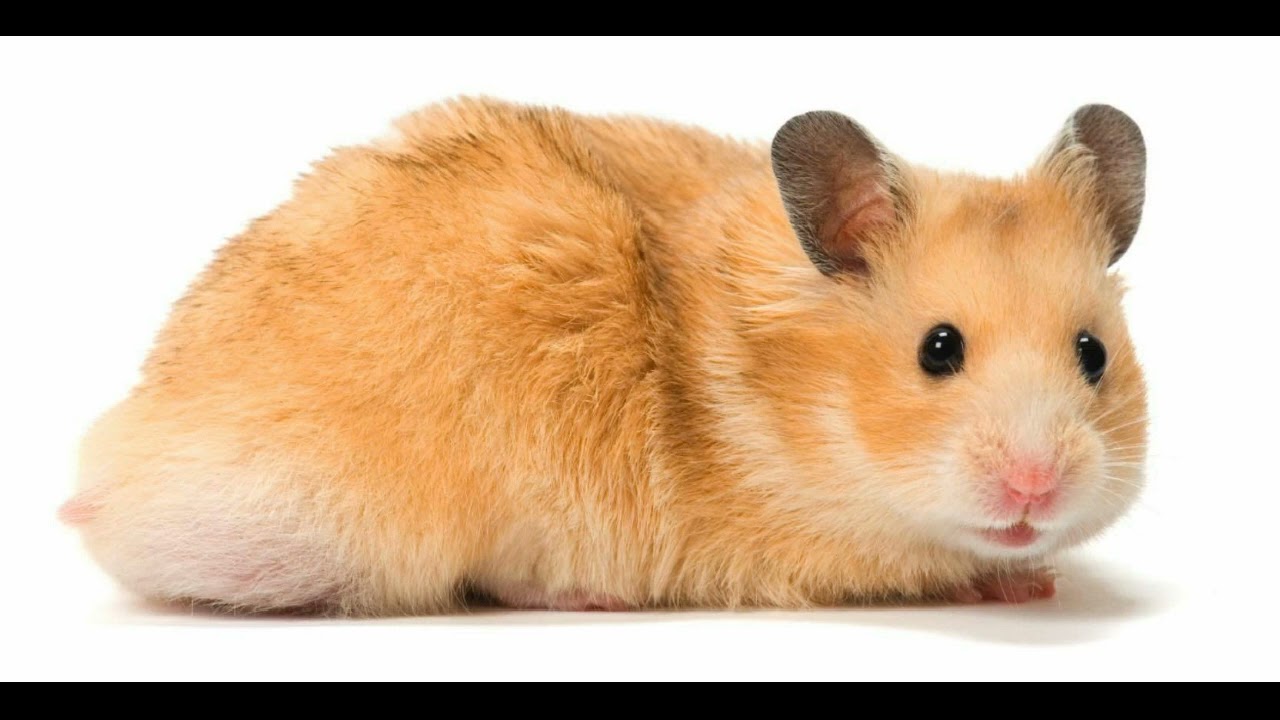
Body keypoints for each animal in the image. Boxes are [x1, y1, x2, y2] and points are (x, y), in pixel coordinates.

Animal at [62, 99, 1148, 614]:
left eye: (1092, 354)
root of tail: (116, 479)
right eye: (937, 350)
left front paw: (1035, 580)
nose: (1037, 490)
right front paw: (1011, 583)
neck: (799, 403)